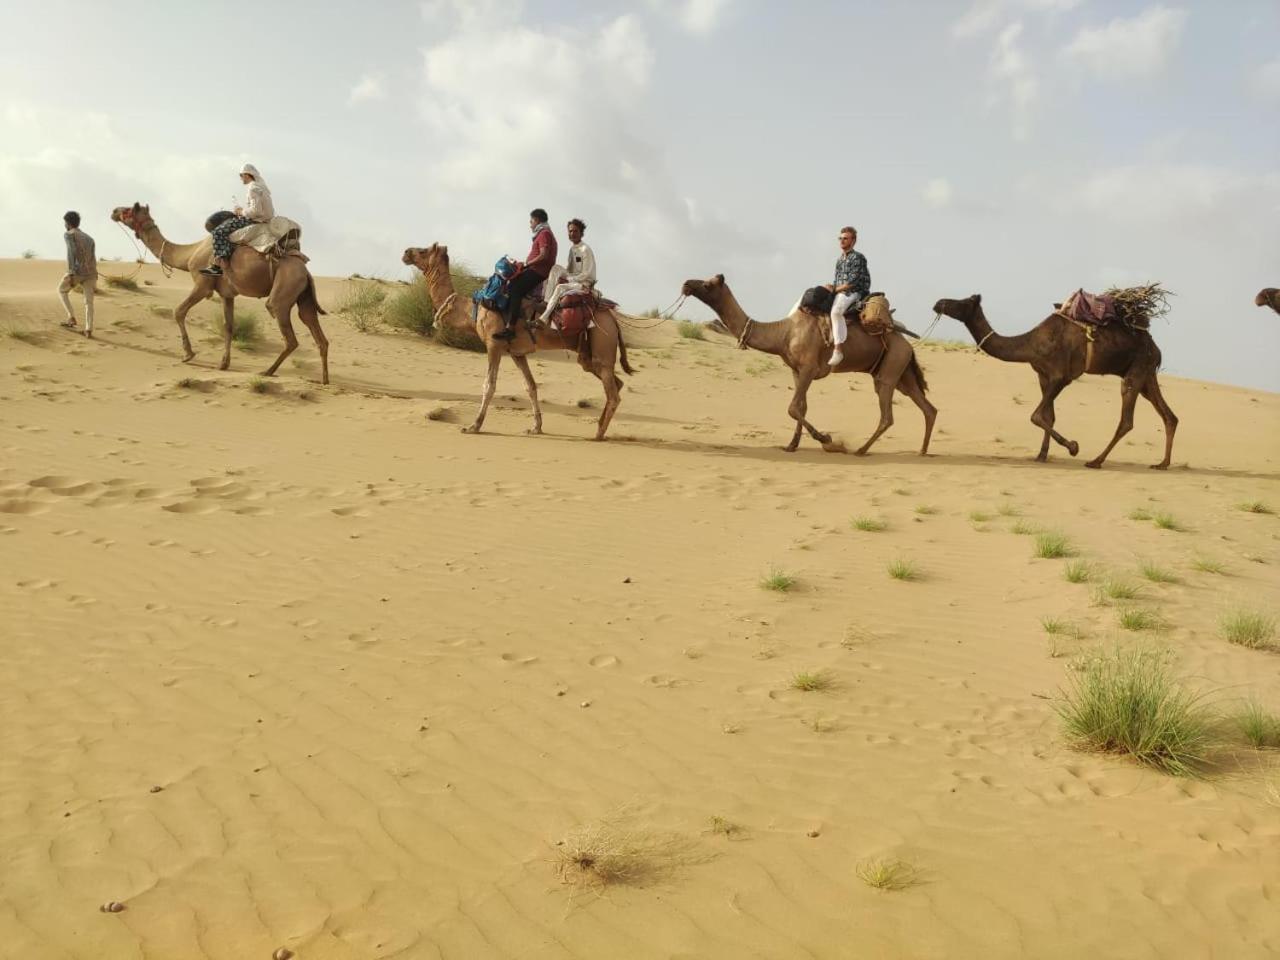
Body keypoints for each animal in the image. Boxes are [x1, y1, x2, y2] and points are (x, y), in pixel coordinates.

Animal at [108, 204, 330, 386]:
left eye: (129, 209)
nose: (114, 211)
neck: (190, 253)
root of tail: (305, 271)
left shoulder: (202, 284)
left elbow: (178, 311)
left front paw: (188, 354)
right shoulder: (227, 294)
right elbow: (229, 326)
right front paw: (223, 364)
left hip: (284, 289)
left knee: (287, 332)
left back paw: (267, 371)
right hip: (304, 295)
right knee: (317, 333)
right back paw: (324, 380)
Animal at [404, 245, 634, 445]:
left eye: (423, 250)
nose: (406, 252)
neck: (473, 310)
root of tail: (613, 320)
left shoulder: (494, 344)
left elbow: (489, 385)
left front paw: (473, 426)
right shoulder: (517, 353)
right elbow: (530, 386)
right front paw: (536, 427)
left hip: (602, 343)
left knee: (613, 393)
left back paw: (598, 434)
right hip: (588, 355)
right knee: (617, 384)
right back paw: (600, 428)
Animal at [680, 273, 942, 455]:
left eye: (707, 284)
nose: (686, 284)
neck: (783, 333)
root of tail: (907, 344)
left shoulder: (809, 368)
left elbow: (793, 408)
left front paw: (828, 440)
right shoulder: (796, 371)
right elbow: (801, 407)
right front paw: (791, 445)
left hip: (890, 369)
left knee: (888, 414)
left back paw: (861, 450)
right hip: (901, 372)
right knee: (927, 407)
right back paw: (922, 450)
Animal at [931, 295, 1177, 471]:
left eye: (962, 301)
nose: (938, 303)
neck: (1031, 343)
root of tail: (1156, 348)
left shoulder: (1061, 376)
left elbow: (1036, 415)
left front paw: (1073, 447)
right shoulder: (1043, 376)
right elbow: (1048, 416)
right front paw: (1042, 455)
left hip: (1137, 368)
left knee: (1127, 419)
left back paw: (1096, 461)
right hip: (1146, 374)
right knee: (1169, 416)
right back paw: (1162, 463)